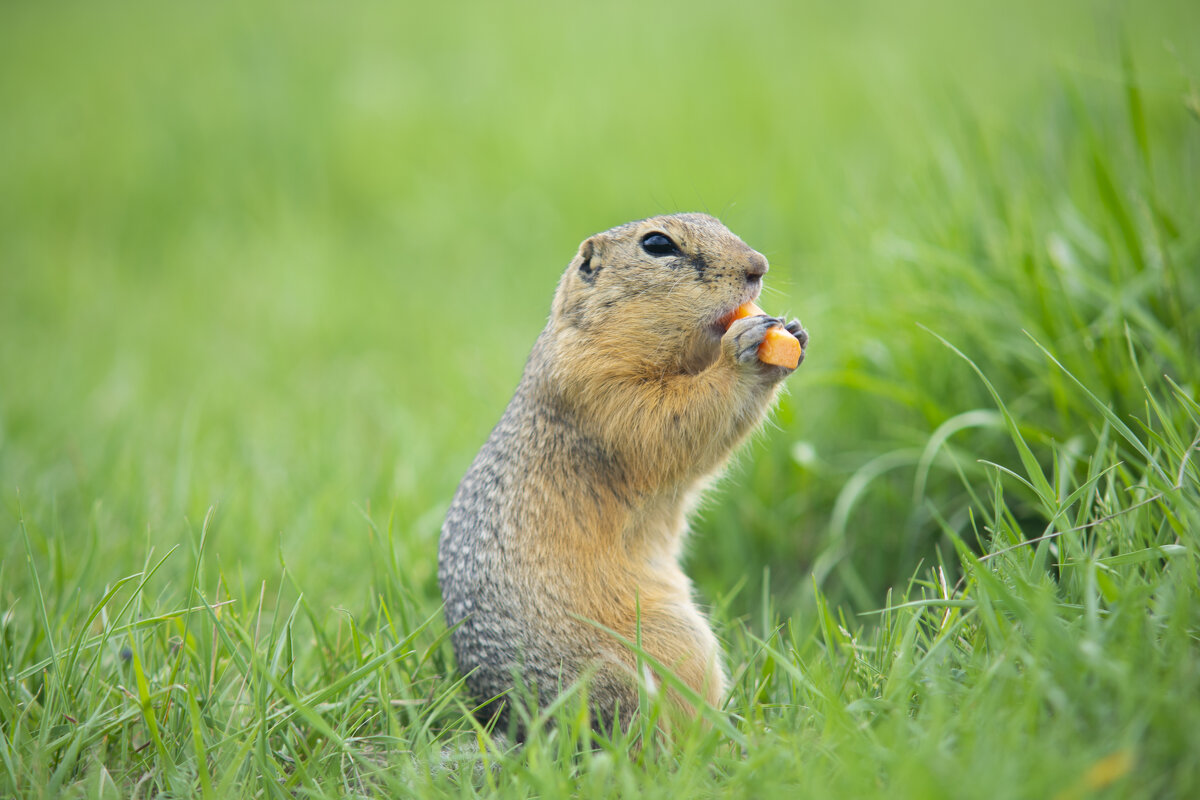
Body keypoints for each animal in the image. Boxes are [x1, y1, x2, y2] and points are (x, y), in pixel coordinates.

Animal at [441, 214, 806, 738]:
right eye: (657, 244)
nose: (759, 266)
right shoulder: (598, 386)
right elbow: (667, 420)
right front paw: (746, 352)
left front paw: (794, 330)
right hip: (665, 640)